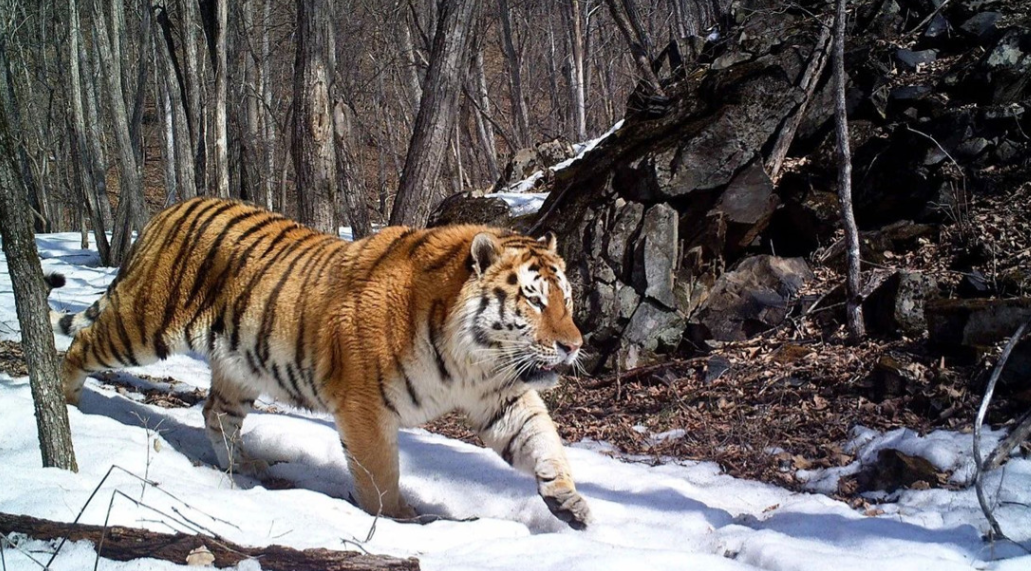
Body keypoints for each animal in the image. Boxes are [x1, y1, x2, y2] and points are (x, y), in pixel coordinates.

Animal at [46, 197, 591, 529]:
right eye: (534, 301)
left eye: (566, 299)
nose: (574, 345)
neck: (471, 358)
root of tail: (167, 210)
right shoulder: (364, 404)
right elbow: (379, 474)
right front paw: (400, 520)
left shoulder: (500, 394)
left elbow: (542, 440)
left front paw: (567, 499)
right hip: (143, 324)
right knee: (80, 345)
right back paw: (65, 402)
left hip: (240, 366)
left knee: (216, 412)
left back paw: (243, 467)